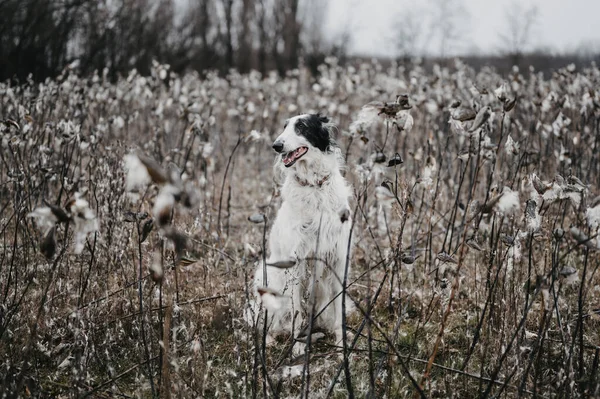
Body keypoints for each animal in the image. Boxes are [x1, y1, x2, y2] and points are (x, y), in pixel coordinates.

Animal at [247, 113, 352, 354]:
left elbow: (339, 311)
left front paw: (341, 346)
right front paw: (297, 350)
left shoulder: (338, 259)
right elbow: (296, 312)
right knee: (267, 322)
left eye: (301, 126)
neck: (314, 186)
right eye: (284, 127)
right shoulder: (295, 263)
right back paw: (269, 339)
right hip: (269, 277)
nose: (276, 146)